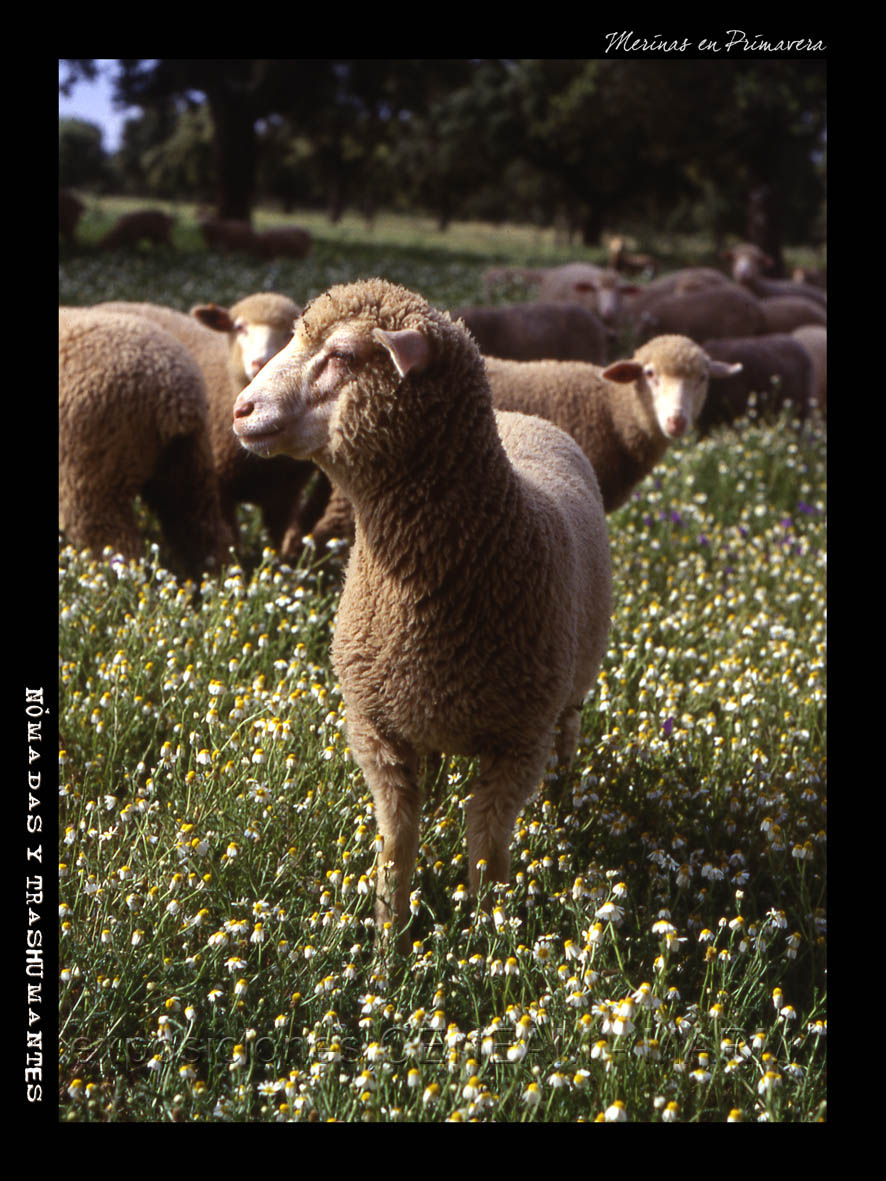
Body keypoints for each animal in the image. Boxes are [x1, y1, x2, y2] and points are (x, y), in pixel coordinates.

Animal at [232, 273, 614, 940]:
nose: (241, 410)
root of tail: (526, 417)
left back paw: (563, 800)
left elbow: (487, 849)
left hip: (567, 691)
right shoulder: (378, 731)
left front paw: (487, 940)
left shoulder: (517, 745)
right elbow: (397, 842)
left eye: (341, 354)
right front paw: (391, 937)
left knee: (568, 735)